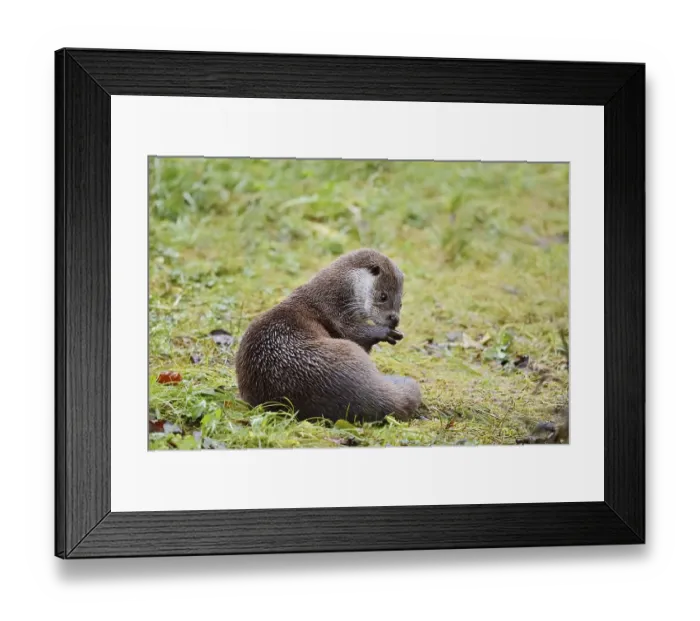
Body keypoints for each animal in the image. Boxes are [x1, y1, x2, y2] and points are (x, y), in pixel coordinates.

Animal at [235, 249, 422, 422]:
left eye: (401, 303)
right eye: (383, 296)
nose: (394, 319)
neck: (339, 293)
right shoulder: (338, 315)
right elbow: (355, 333)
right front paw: (385, 333)